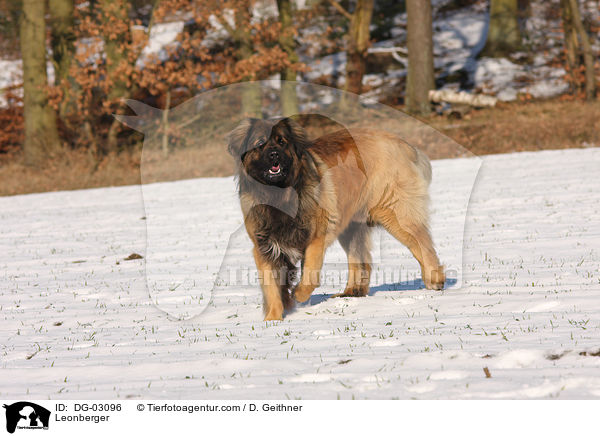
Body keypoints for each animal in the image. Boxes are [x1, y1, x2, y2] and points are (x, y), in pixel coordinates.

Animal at [230, 116, 446, 320]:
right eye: (260, 142)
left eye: (281, 142)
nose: (274, 154)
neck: (278, 194)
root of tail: (403, 143)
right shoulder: (265, 245)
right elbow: (272, 287)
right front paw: (272, 320)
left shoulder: (316, 236)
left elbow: (310, 273)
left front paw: (298, 294)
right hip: (352, 226)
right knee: (360, 260)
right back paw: (351, 292)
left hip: (394, 213)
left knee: (422, 244)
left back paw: (435, 279)